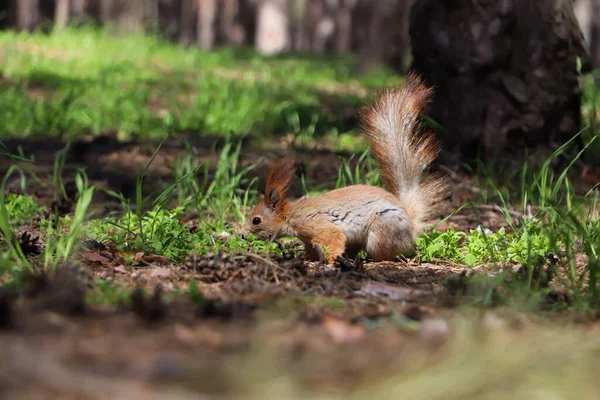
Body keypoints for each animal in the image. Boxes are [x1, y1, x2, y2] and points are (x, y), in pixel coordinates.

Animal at [239, 73, 446, 264]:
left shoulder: (316, 226)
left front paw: (331, 261)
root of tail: (411, 229)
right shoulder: (307, 238)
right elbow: (312, 249)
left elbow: (333, 240)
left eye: (256, 220)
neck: (291, 214)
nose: (241, 234)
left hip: (382, 231)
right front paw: (306, 258)